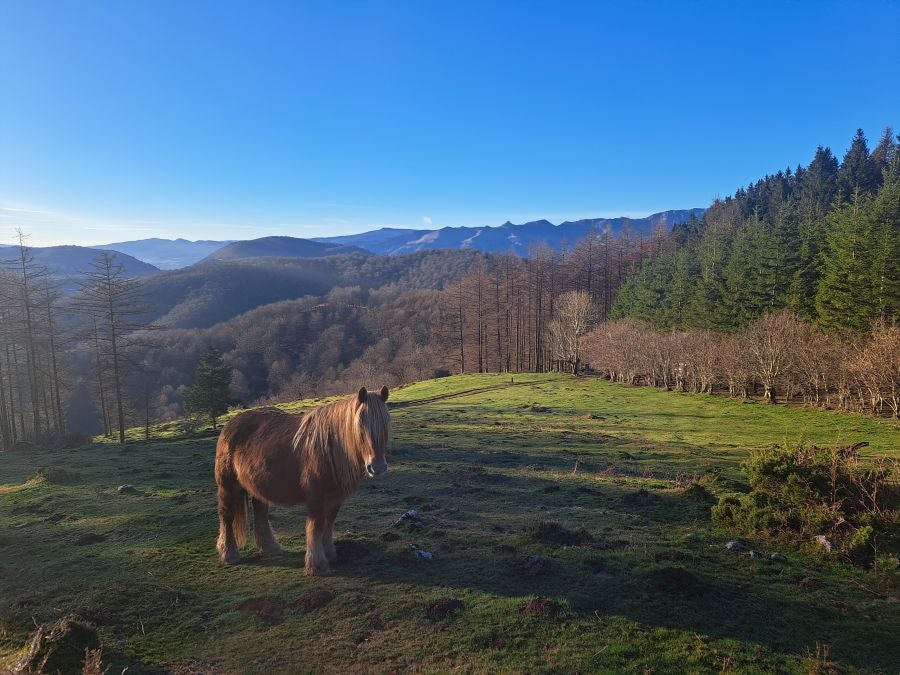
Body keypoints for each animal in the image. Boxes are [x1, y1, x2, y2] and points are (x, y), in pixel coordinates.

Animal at [217, 386, 390, 576]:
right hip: (228, 486)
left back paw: (270, 548)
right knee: (226, 516)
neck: (328, 448)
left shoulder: (335, 497)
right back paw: (229, 554)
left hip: (258, 486)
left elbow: (329, 523)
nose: (377, 467)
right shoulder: (316, 497)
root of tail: (230, 424)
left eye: (386, 422)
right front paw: (317, 565)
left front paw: (329, 554)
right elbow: (316, 526)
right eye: (360, 425)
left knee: (260, 513)